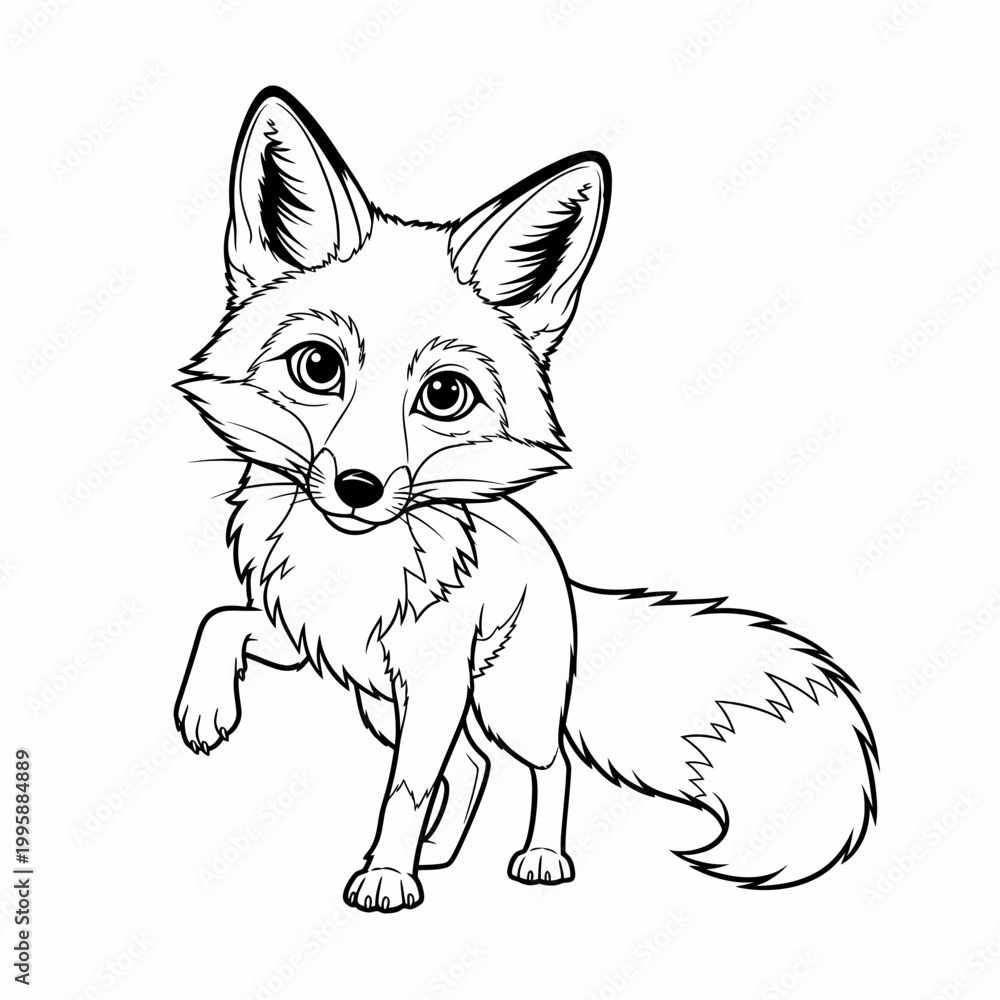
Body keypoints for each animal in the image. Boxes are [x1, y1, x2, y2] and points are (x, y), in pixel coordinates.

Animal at [174, 86, 878, 913]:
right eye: (318, 367)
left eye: (444, 394)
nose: (358, 489)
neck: (353, 570)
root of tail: (557, 564)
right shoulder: (320, 645)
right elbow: (222, 620)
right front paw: (204, 710)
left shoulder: (427, 683)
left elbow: (405, 791)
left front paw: (387, 878)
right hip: (390, 708)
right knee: (473, 767)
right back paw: (440, 855)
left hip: (505, 706)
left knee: (546, 766)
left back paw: (538, 858)